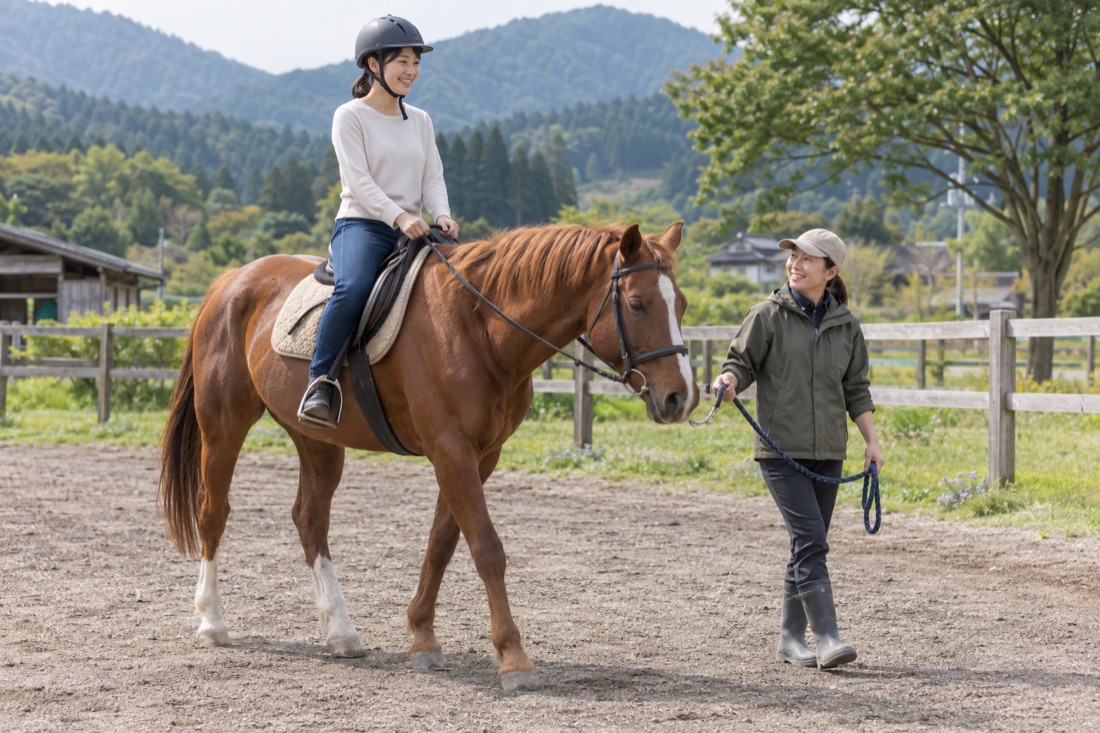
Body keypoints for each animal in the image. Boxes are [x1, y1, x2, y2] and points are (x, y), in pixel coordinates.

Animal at [158, 221, 699, 691]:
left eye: (683, 304)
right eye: (637, 304)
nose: (680, 398)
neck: (479, 328)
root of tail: (231, 282)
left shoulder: (479, 455)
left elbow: (443, 542)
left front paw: (422, 639)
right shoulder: (450, 450)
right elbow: (486, 548)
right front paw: (514, 658)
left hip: (317, 440)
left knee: (310, 519)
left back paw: (341, 633)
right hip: (223, 426)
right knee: (213, 512)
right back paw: (212, 622)